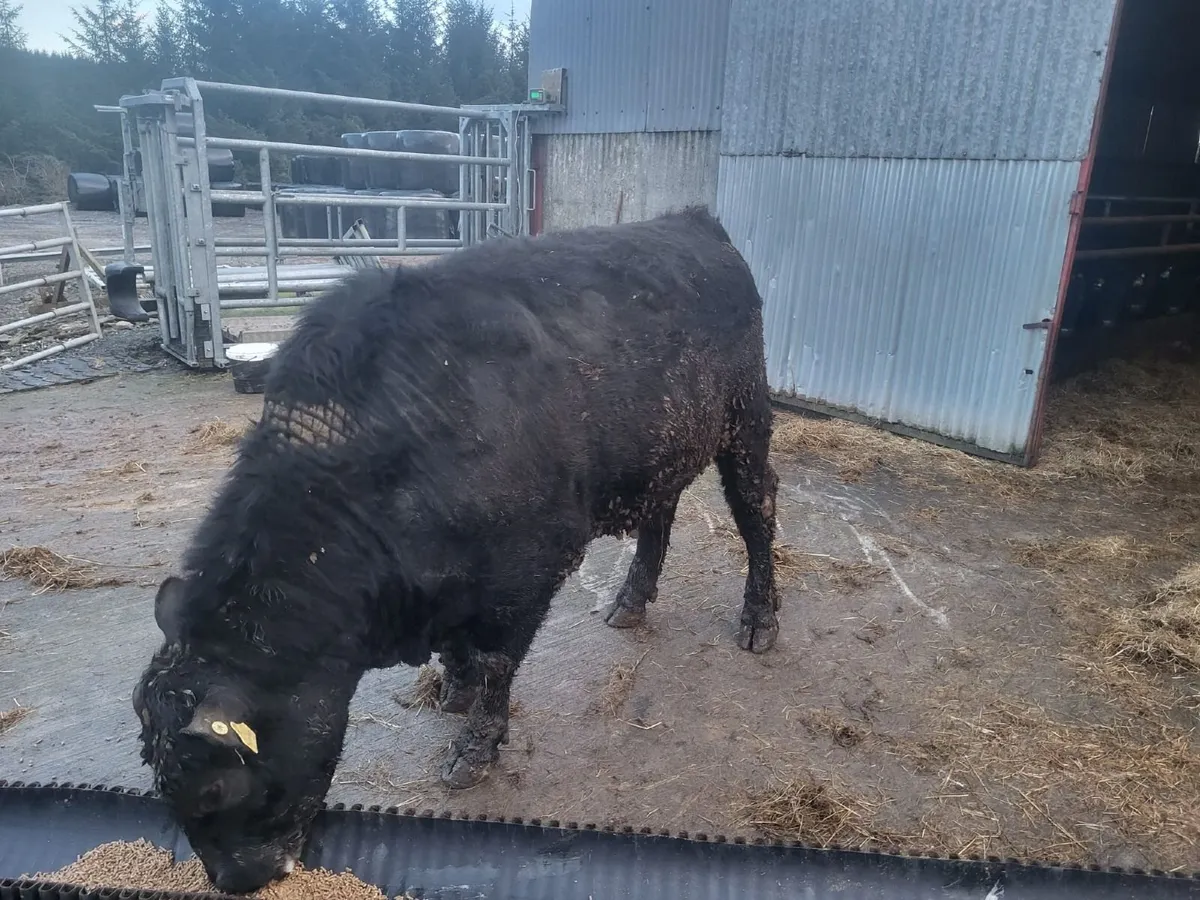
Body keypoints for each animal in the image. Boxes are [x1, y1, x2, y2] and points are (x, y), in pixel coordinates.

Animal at [131, 206, 781, 894]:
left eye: (215, 788)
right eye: (160, 783)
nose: (234, 881)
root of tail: (692, 222)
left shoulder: (527, 570)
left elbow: (497, 662)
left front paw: (474, 748)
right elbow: (462, 653)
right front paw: (454, 691)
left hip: (746, 419)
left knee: (757, 508)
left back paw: (760, 618)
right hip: (661, 448)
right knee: (662, 512)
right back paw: (631, 601)